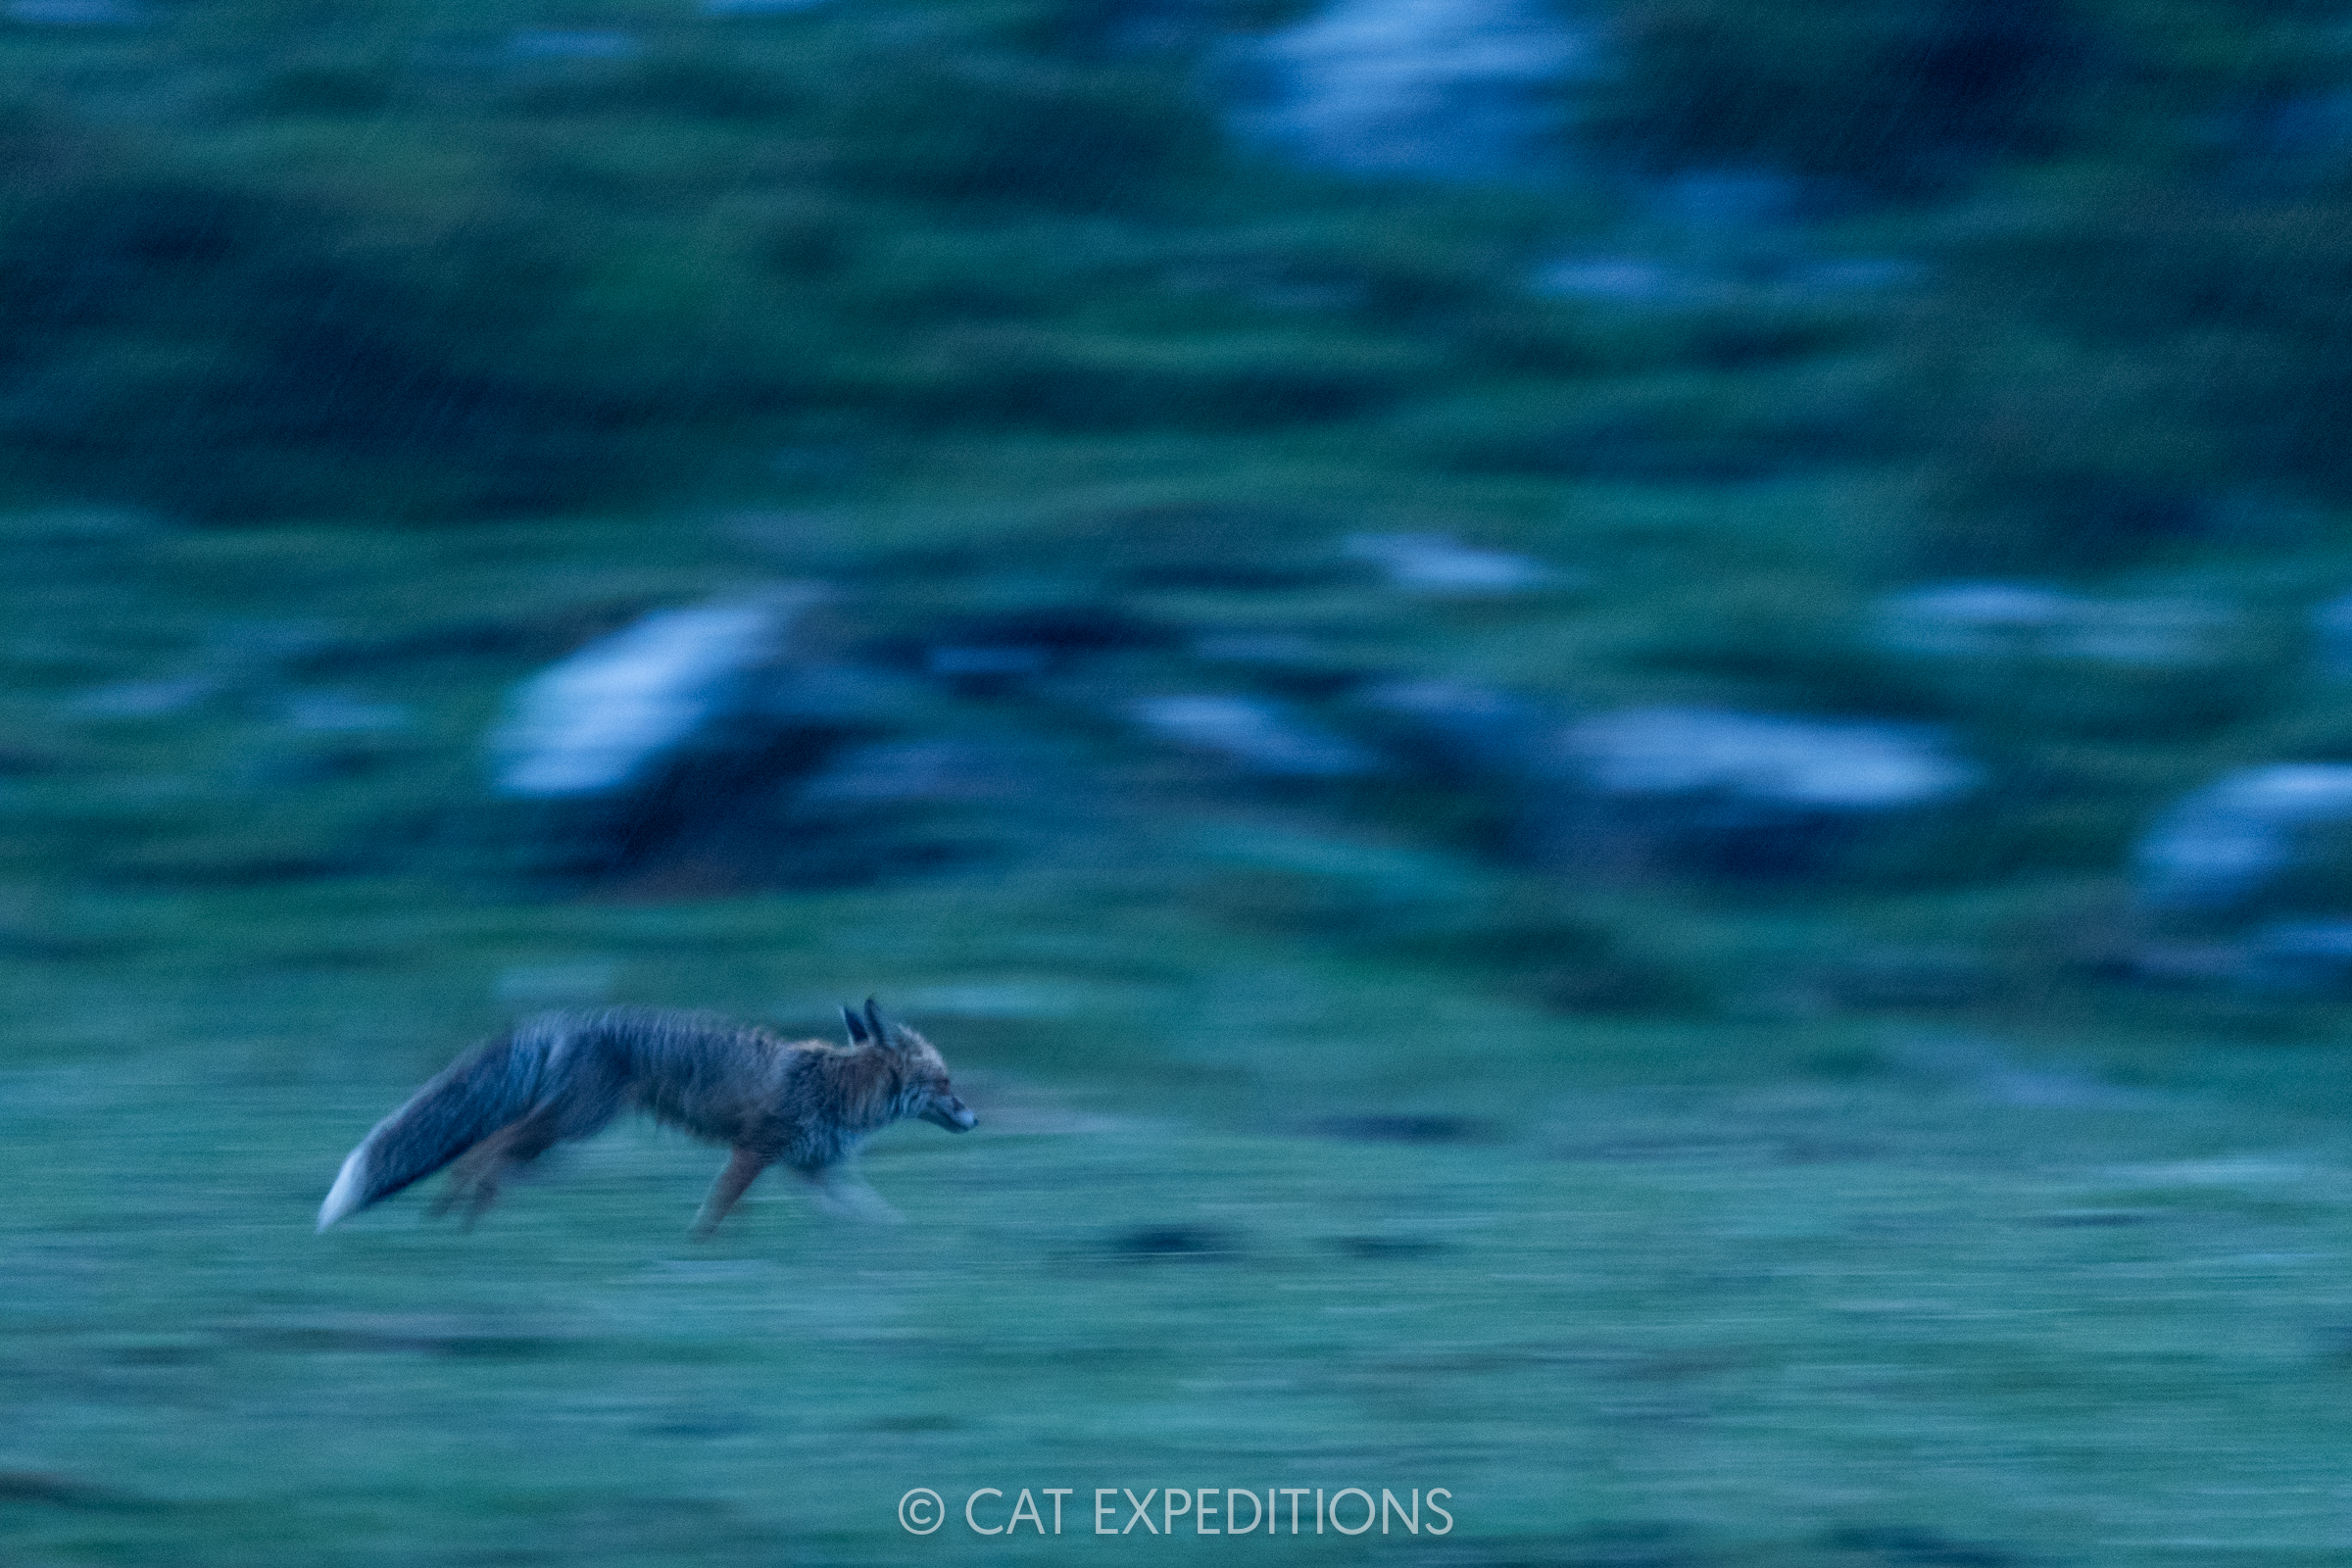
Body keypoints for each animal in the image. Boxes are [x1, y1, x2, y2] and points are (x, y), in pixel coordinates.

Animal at [316, 998, 976, 1235]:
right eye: (945, 1084)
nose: (973, 1120)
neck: (839, 1088)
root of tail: (565, 1018)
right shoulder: (754, 1150)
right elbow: (715, 1211)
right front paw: (699, 1250)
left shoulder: (813, 1168)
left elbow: (873, 1217)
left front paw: (905, 1247)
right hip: (574, 1125)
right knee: (487, 1147)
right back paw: (460, 1222)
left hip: (562, 1136)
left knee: (487, 1153)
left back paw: (452, 1221)